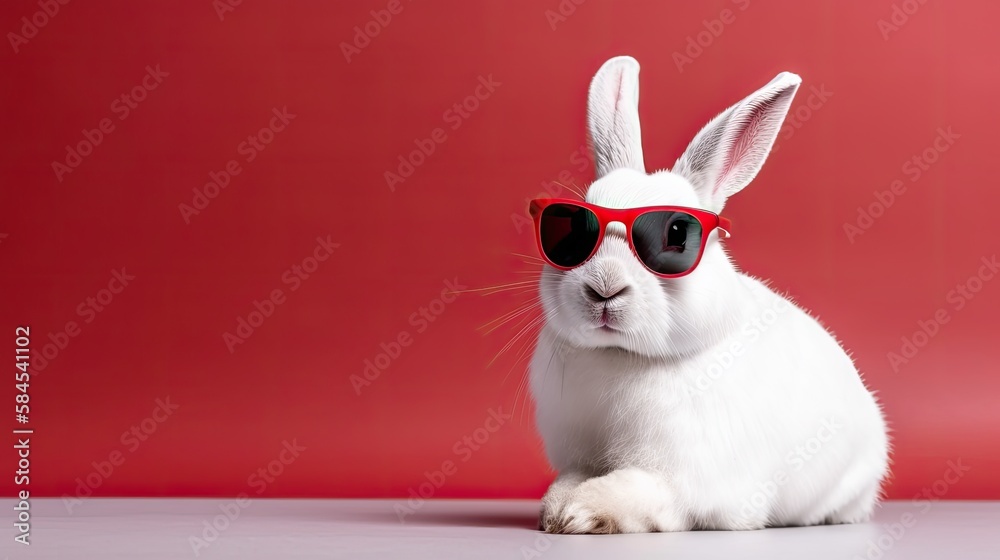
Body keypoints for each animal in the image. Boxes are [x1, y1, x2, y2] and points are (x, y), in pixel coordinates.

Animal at [529, 56, 890, 534]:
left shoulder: (687, 486)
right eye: (571, 231)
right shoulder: (579, 456)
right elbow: (567, 479)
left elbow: (636, 492)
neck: (623, 356)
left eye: (677, 235)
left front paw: (580, 513)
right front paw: (554, 510)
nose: (604, 287)